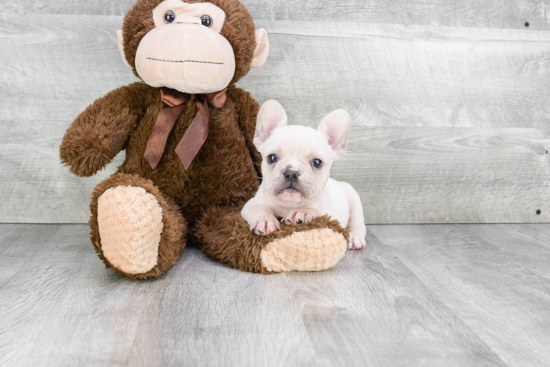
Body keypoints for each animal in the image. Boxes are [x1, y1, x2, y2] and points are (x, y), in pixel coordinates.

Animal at [242, 100, 366, 250]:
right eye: (271, 158)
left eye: (317, 162)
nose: (291, 173)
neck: (290, 205)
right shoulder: (251, 204)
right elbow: (260, 208)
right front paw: (265, 221)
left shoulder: (328, 214)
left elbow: (316, 210)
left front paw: (302, 212)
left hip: (354, 200)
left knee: (357, 222)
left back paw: (355, 238)